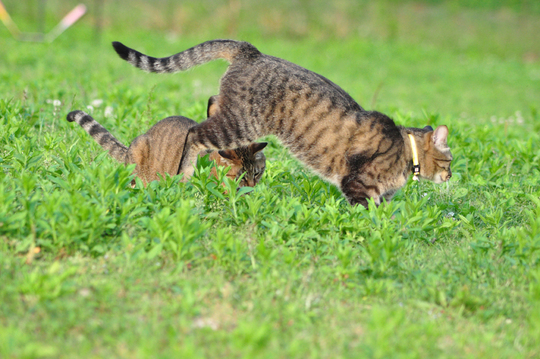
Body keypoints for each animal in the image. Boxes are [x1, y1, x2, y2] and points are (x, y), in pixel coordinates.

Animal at [109, 39, 452, 208]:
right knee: (194, 134)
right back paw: (186, 173)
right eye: (450, 160)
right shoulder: (357, 183)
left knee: (211, 104)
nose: (451, 176)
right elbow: (370, 214)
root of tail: (252, 52)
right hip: (239, 122)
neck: (405, 154)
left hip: (233, 115)